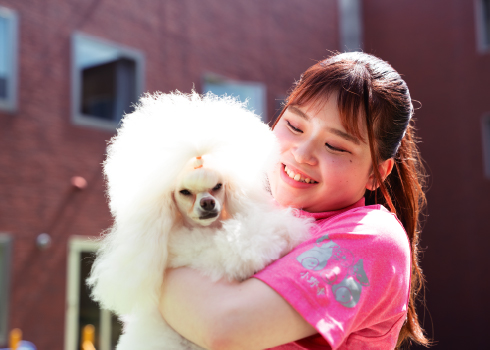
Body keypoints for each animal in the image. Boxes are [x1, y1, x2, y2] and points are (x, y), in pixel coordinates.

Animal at [86, 92, 312, 350]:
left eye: (218, 186)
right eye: (185, 192)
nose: (207, 203)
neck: (205, 230)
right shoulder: (205, 254)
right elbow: (243, 249)